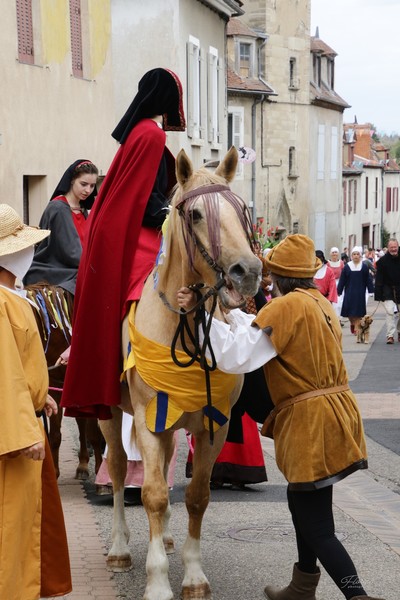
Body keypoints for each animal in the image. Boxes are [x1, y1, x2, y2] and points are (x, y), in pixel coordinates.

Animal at [26, 284, 104, 480]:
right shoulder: (55, 386)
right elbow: (54, 435)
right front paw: (54, 472)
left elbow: (94, 432)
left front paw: (101, 472)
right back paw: (83, 464)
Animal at [100, 146, 262, 600]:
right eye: (194, 214)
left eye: (241, 209)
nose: (248, 271)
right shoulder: (147, 419)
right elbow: (152, 494)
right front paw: (157, 582)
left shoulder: (212, 425)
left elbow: (197, 495)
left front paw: (192, 574)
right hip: (108, 414)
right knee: (118, 470)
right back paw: (119, 548)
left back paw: (168, 538)